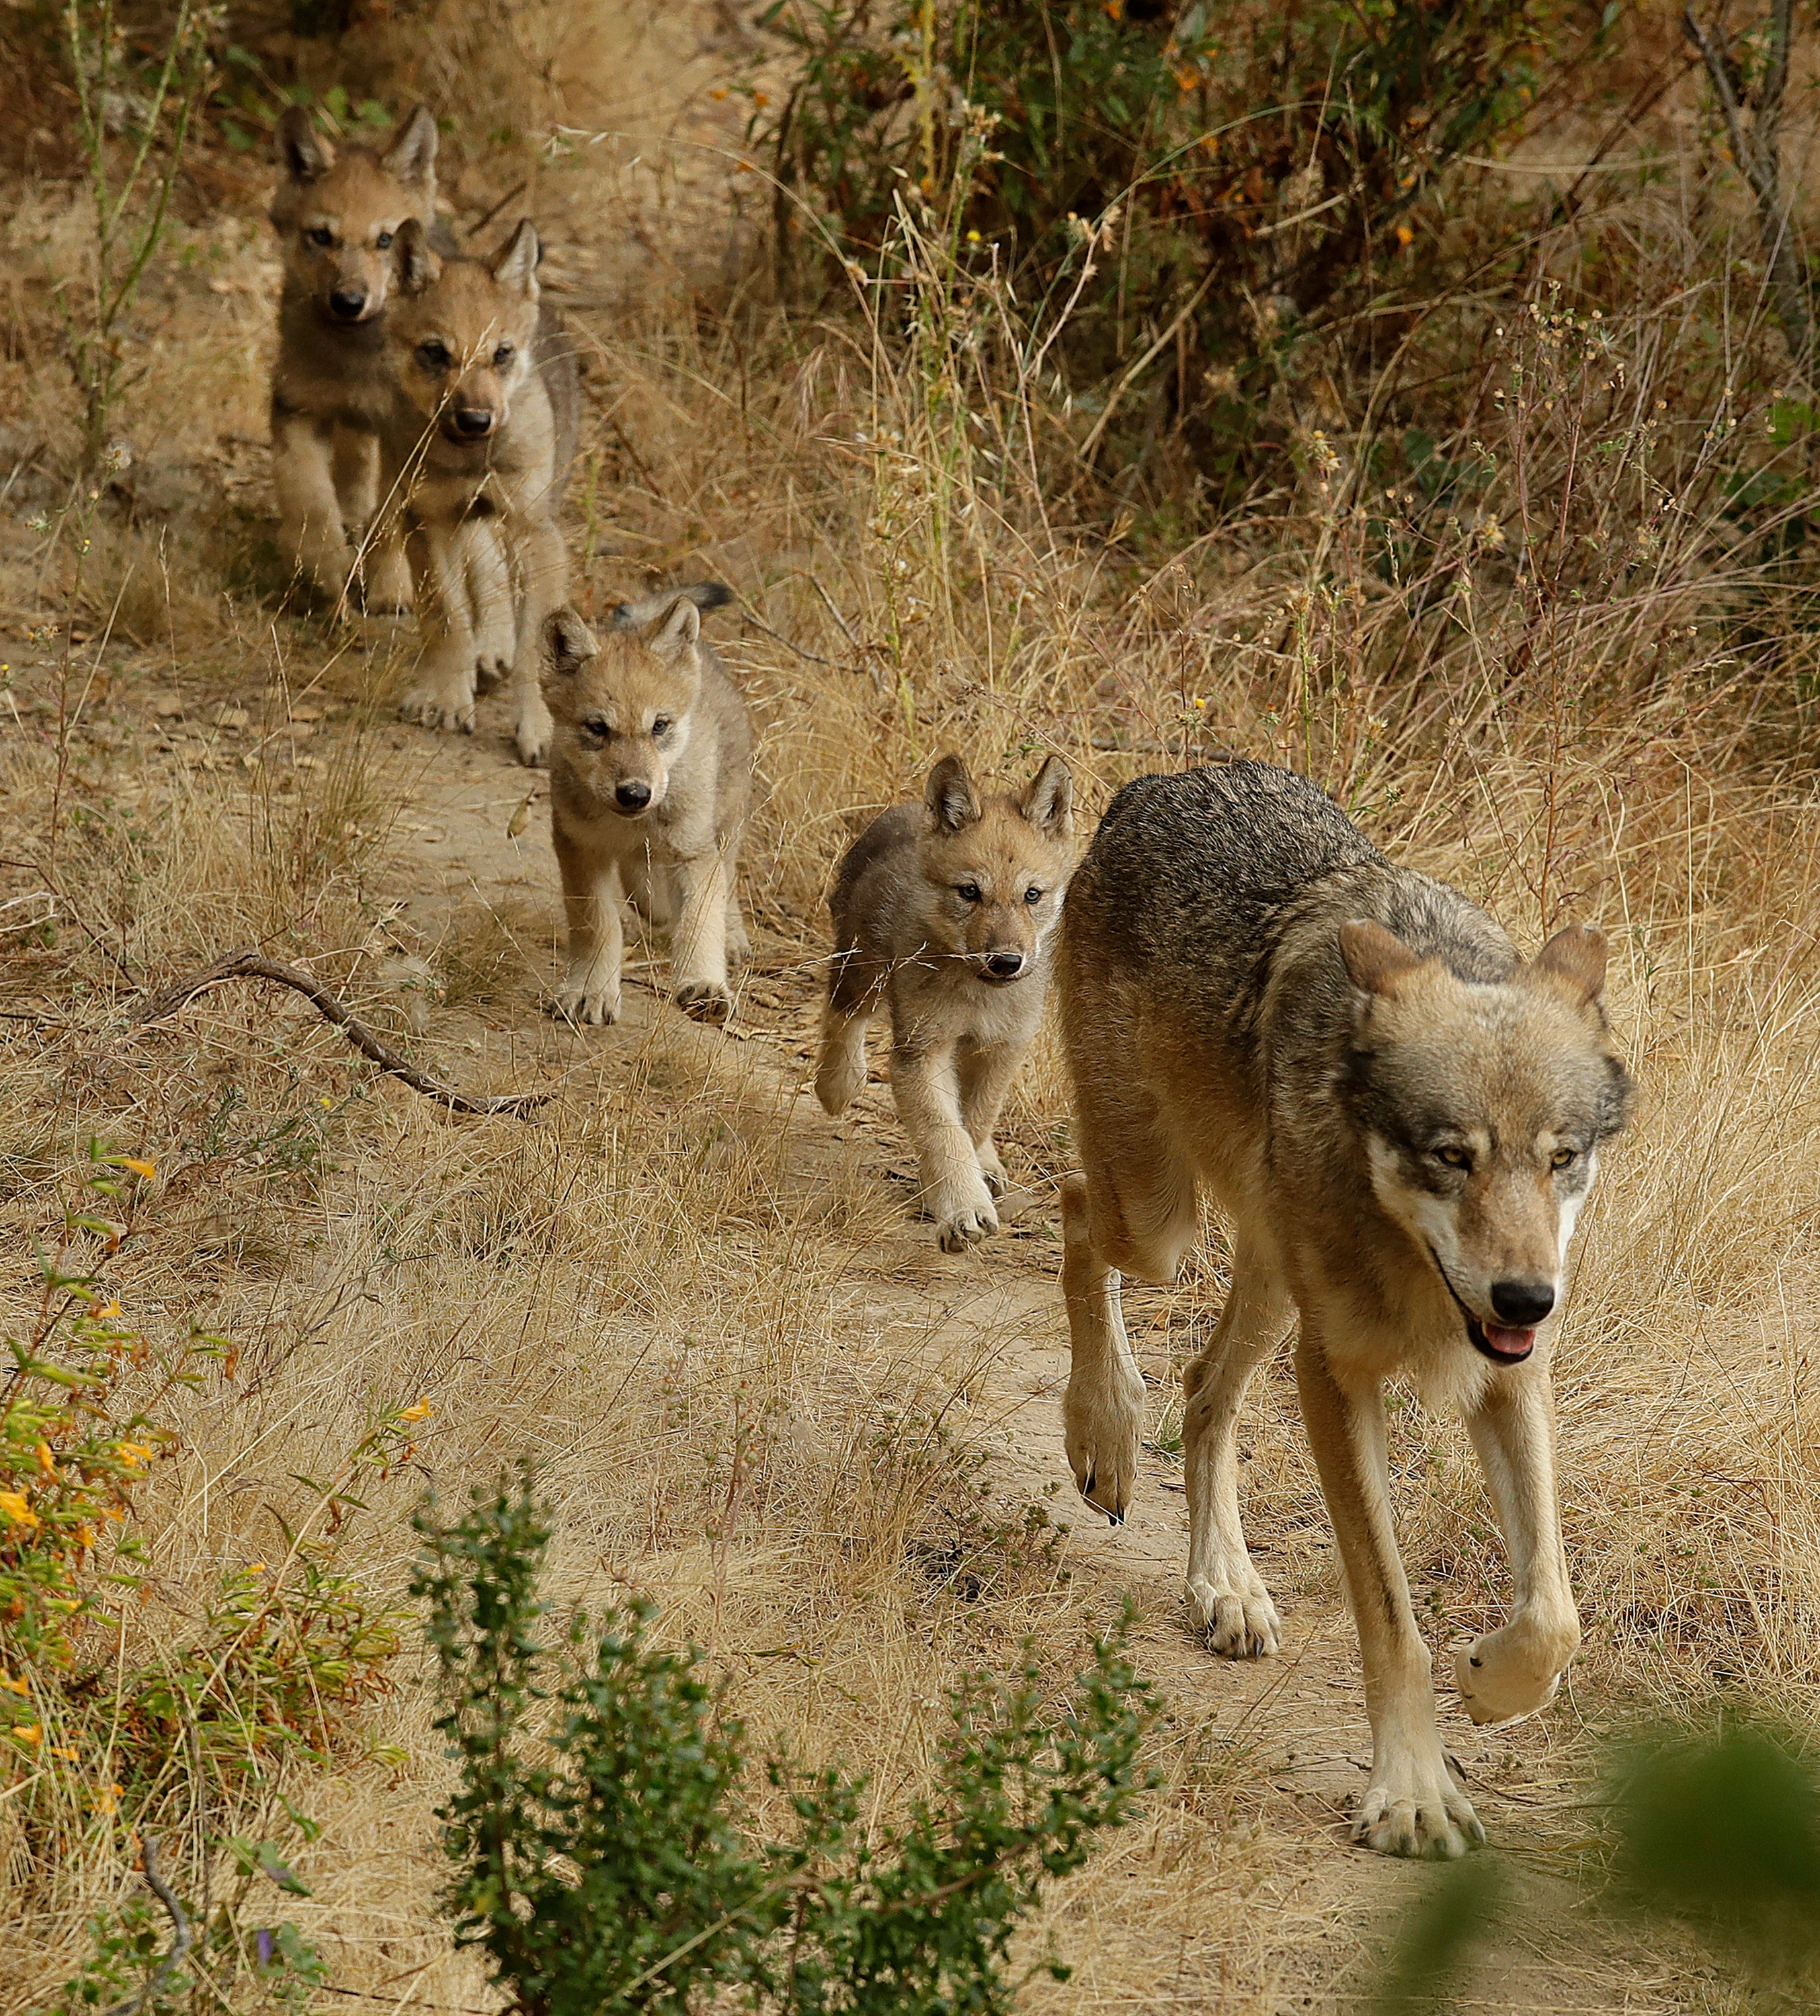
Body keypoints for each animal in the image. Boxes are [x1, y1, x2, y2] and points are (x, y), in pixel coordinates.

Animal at [818, 758, 1072, 1250]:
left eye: (1032, 895)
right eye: (969, 892)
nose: (1006, 961)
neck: (979, 995)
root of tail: (902, 809)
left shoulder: (1002, 1048)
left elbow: (974, 1122)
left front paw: (958, 1187)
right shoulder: (921, 1051)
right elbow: (944, 1132)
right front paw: (962, 1209)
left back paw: (989, 1166)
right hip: (863, 972)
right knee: (841, 1016)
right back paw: (837, 1085)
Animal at [1056, 758, 1637, 1855]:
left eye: (1560, 1158)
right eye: (1451, 1156)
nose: (1528, 1295)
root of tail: (1161, 778)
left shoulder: (1511, 1377)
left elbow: (1555, 1615)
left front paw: (1490, 1685)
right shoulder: (1336, 1378)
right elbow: (1392, 1618)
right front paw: (1412, 1794)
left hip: (1267, 1284)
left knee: (1202, 1388)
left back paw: (1225, 1587)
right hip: (1160, 1223)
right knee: (1075, 1216)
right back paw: (1102, 1435)